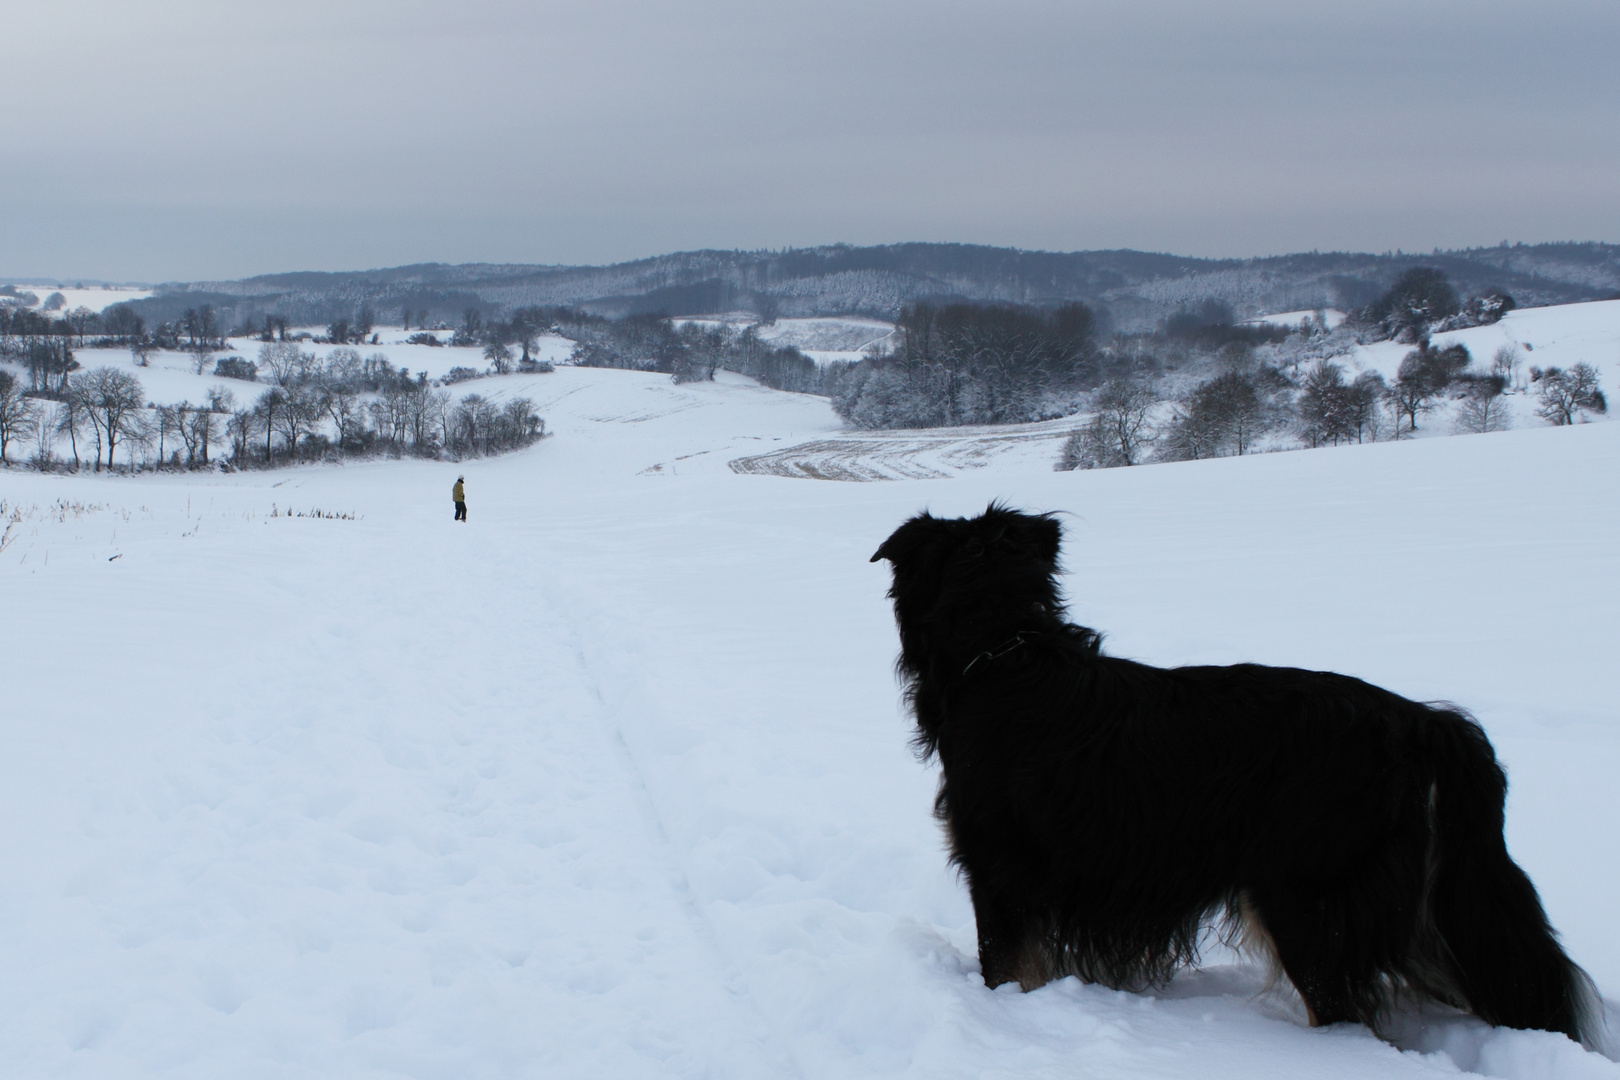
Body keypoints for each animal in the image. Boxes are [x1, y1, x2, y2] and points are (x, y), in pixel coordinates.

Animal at [868, 508, 1600, 1049]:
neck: (1003, 653)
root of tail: (1427, 725)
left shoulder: (999, 871)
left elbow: (1003, 968)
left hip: (1305, 901)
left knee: (1349, 1015)